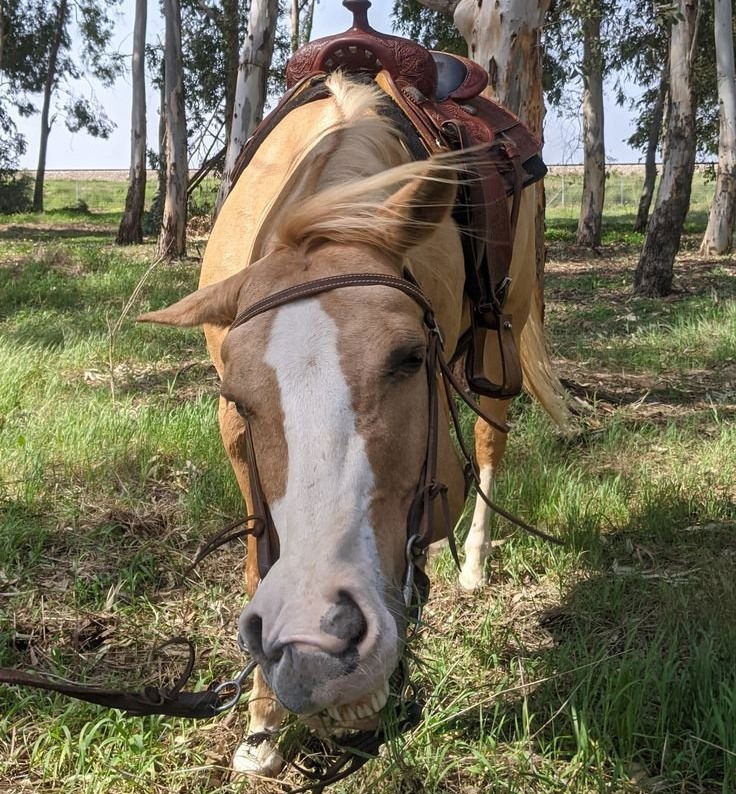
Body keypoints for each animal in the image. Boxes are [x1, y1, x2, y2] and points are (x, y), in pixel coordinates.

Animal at [142, 71, 568, 776]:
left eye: (409, 359)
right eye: (240, 397)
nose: (319, 644)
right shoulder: (235, 438)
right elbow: (261, 560)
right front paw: (262, 727)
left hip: (502, 332)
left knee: (490, 439)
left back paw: (473, 566)